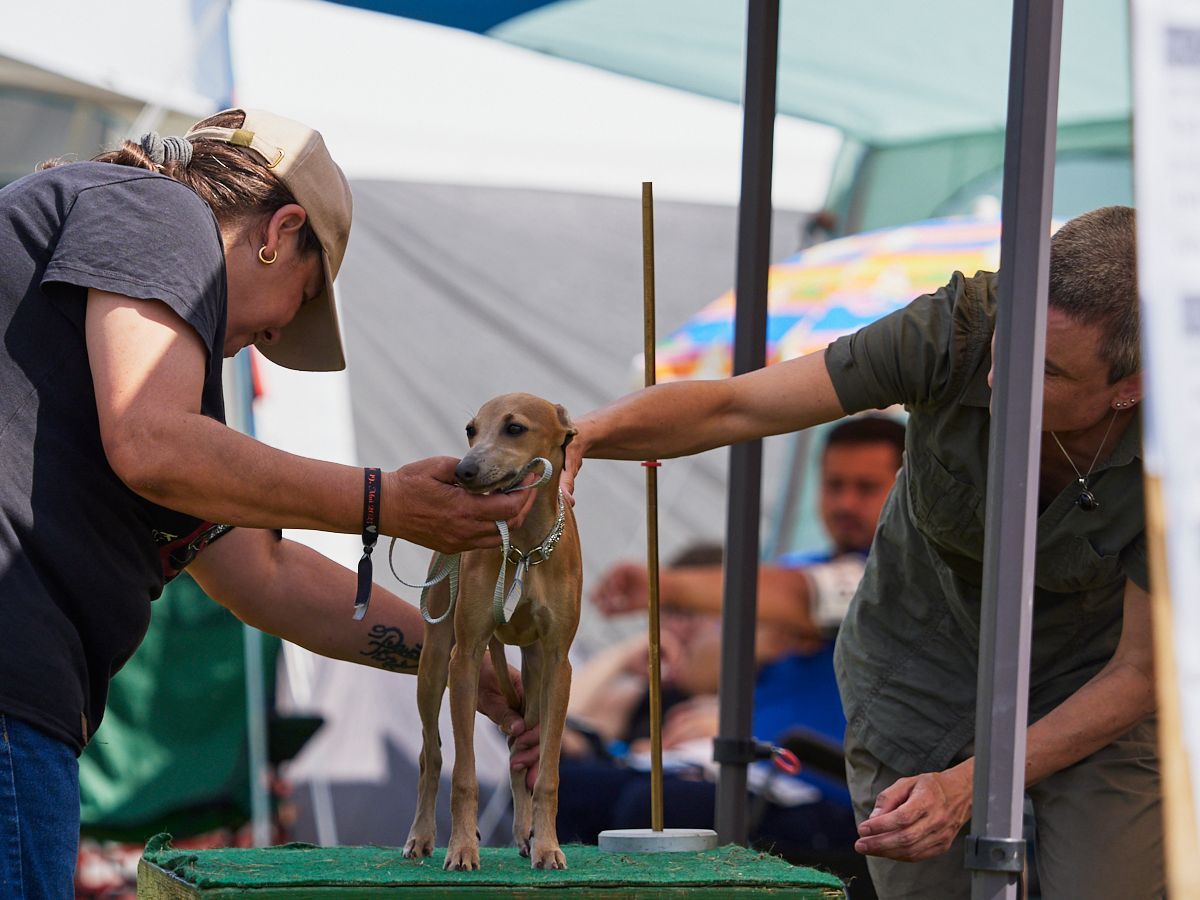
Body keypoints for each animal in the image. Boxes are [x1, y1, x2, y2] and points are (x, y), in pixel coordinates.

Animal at [403, 393, 582, 871]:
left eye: (514, 428)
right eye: (471, 430)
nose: (463, 472)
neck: (524, 548)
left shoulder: (559, 663)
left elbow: (547, 774)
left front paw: (547, 845)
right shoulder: (465, 659)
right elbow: (464, 774)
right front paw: (463, 847)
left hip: (534, 674)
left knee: (519, 754)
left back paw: (524, 833)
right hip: (433, 665)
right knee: (430, 754)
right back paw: (421, 836)